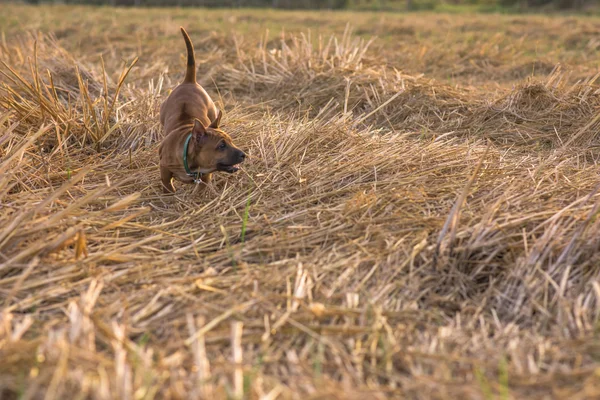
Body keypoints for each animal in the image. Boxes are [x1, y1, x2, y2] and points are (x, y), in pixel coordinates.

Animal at [159, 27, 246, 193]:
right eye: (221, 146)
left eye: (231, 141)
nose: (243, 155)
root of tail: (189, 81)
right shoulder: (164, 170)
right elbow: (168, 186)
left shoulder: (205, 177)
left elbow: (200, 189)